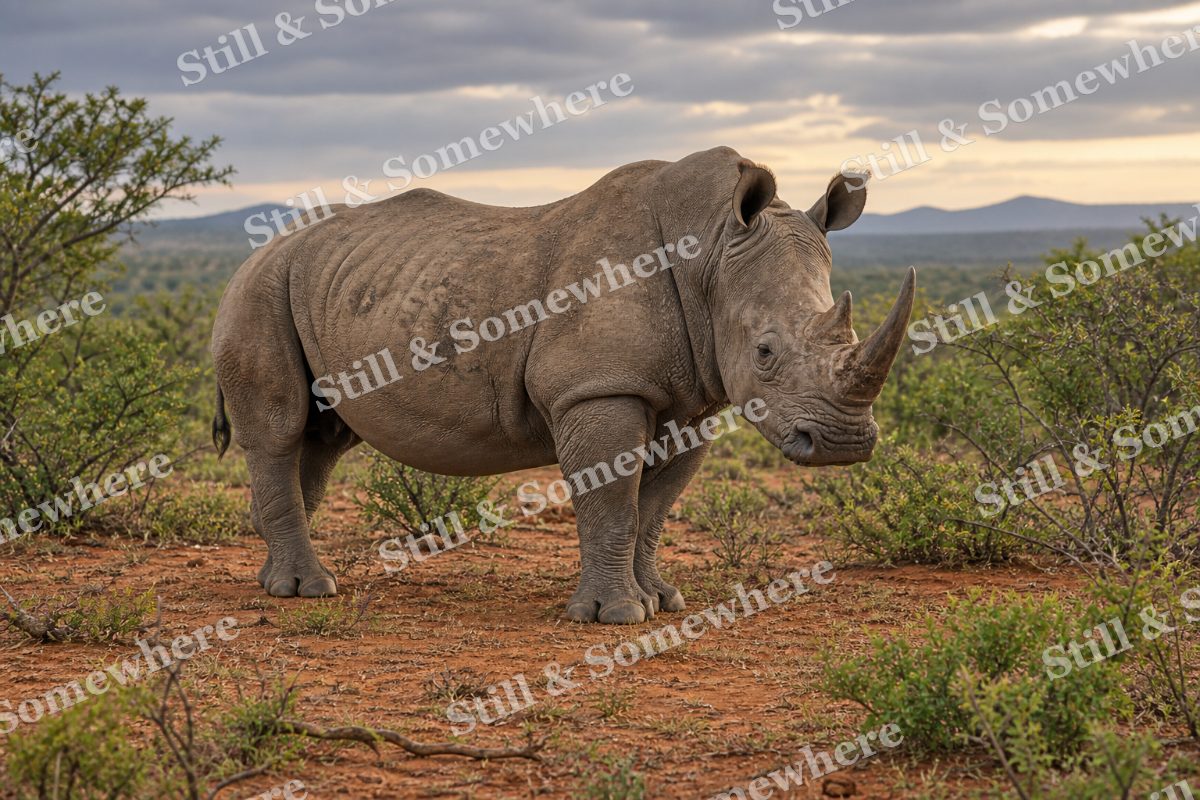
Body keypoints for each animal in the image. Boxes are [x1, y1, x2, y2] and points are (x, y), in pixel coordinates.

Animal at [211, 146, 914, 624]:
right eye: (765, 351)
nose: (844, 445)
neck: (712, 251)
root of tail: (256, 252)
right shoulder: (598, 387)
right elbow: (613, 502)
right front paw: (615, 616)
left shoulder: (693, 400)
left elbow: (653, 509)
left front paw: (662, 600)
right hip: (259, 290)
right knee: (279, 429)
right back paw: (306, 591)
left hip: (313, 286)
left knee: (321, 440)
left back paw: (276, 579)